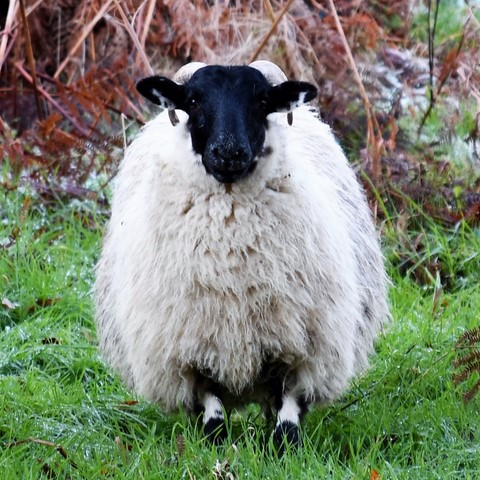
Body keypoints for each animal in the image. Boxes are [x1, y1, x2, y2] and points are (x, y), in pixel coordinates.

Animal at [94, 60, 390, 446]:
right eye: (193, 101)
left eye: (263, 101)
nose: (229, 152)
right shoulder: (189, 351)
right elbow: (211, 410)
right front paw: (215, 441)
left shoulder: (305, 348)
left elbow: (289, 412)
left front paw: (284, 444)